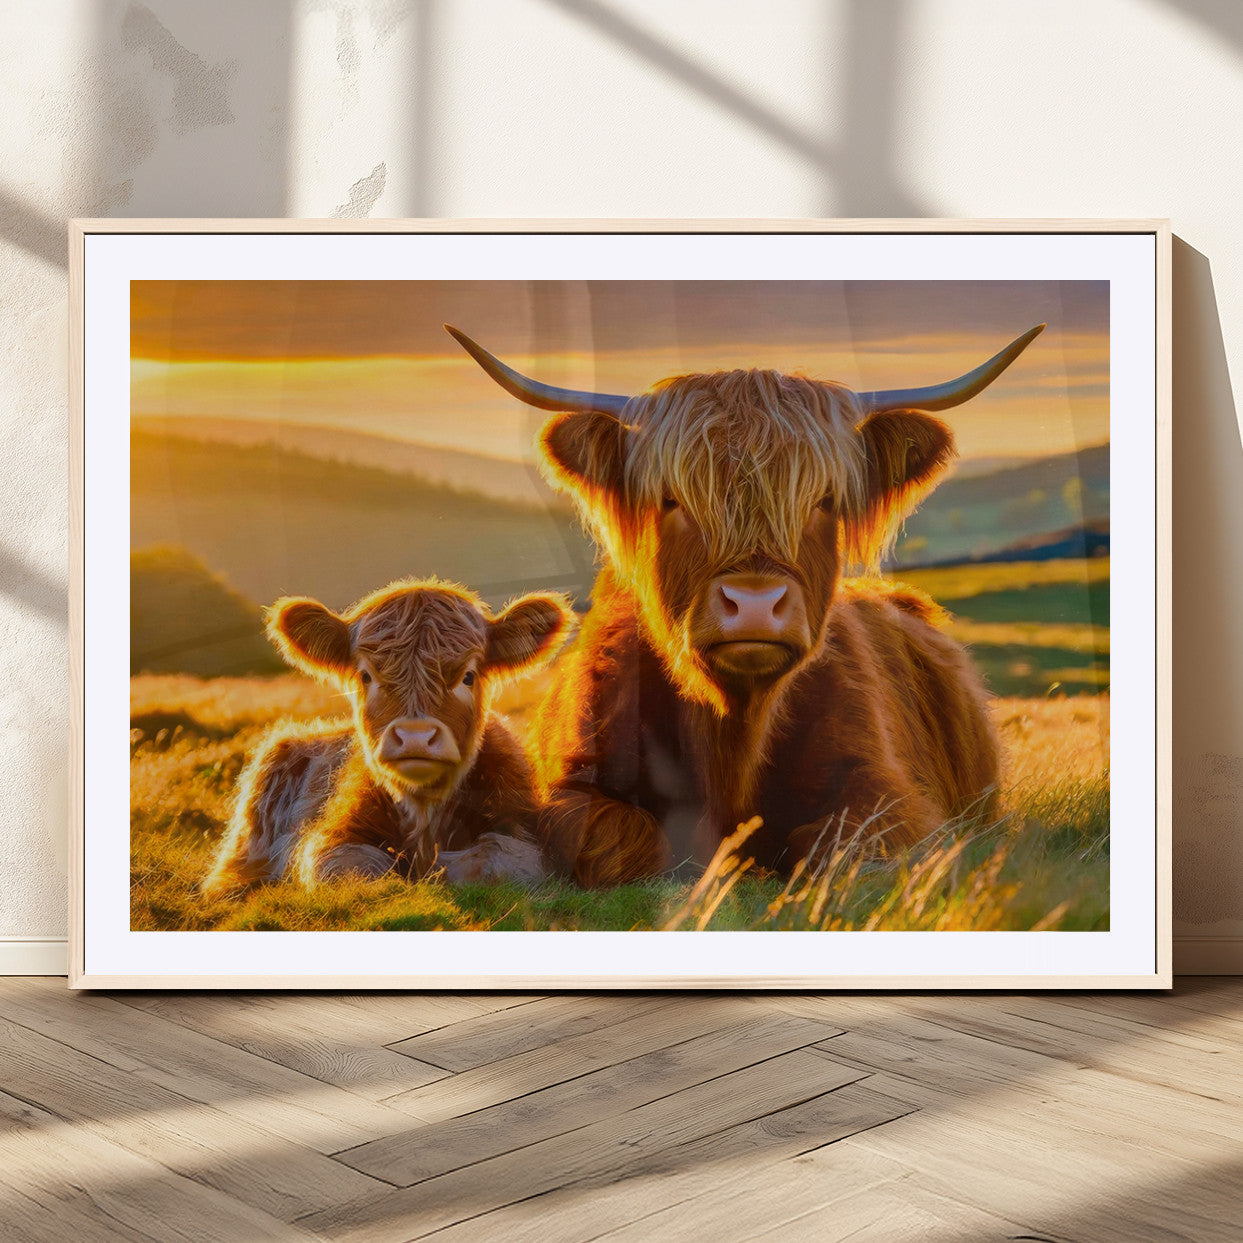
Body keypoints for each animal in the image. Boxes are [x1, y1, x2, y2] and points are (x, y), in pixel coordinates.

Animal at [202, 578, 573, 896]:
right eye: (367, 676)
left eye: (468, 676)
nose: (415, 738)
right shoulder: (329, 839)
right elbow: (354, 870)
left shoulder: (523, 832)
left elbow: (494, 861)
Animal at [447, 322, 1045, 886]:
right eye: (672, 499)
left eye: (824, 500)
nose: (755, 604)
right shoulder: (572, 787)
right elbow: (624, 839)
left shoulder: (889, 793)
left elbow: (833, 845)